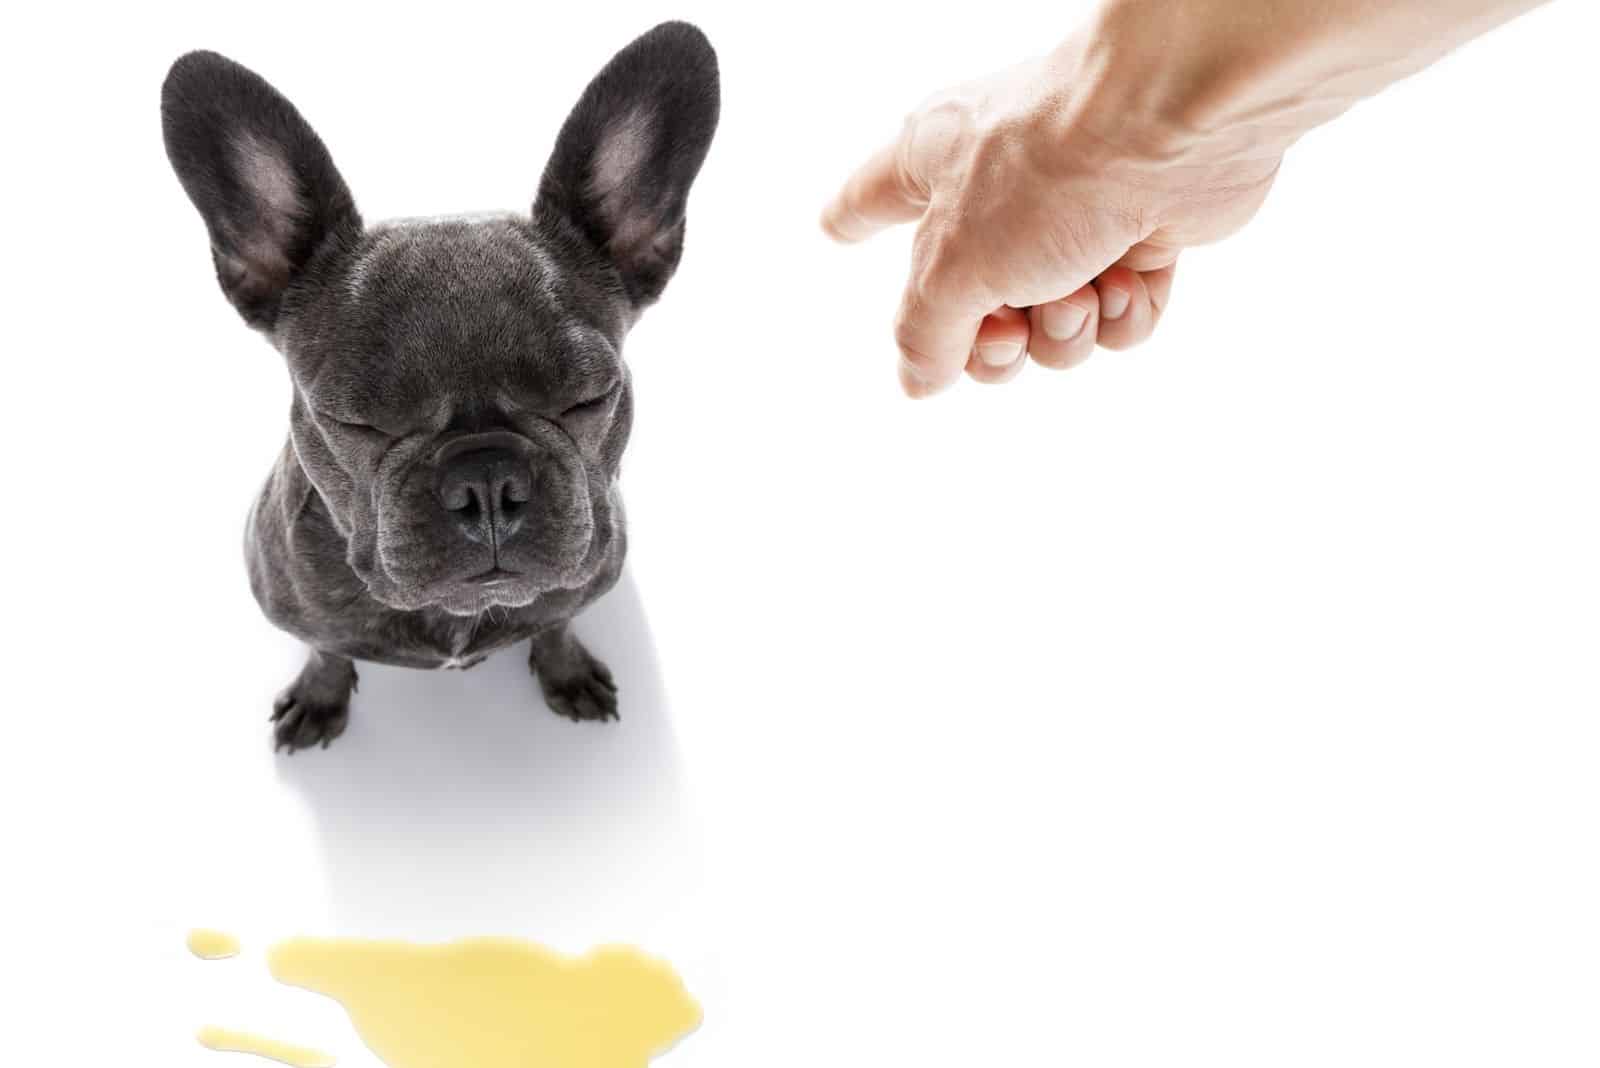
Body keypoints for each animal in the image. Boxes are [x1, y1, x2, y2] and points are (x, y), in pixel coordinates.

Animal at [159, 18, 723, 751]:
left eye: (590, 398)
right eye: (353, 421)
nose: (486, 481)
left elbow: (558, 625)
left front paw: (566, 670)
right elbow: (325, 649)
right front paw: (320, 695)